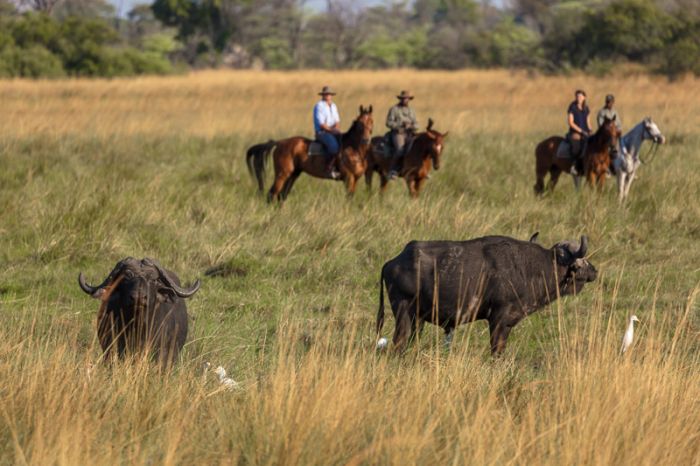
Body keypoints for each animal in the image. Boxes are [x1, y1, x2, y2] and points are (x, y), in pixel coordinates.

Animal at [374, 235, 600, 354]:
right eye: (582, 261)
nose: (595, 271)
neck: (532, 268)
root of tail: (393, 262)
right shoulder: (499, 319)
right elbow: (496, 349)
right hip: (404, 312)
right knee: (399, 342)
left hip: (417, 320)